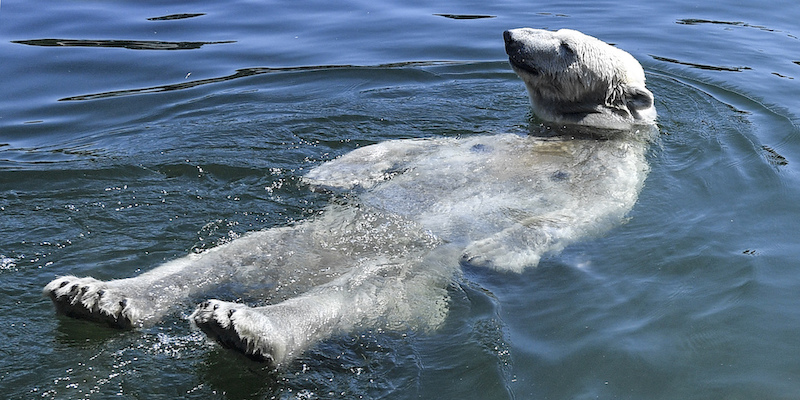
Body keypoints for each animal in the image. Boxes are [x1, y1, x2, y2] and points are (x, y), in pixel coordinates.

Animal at [43, 27, 656, 366]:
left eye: (566, 45)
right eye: (556, 32)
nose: (509, 36)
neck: (576, 136)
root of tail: (292, 277)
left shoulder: (616, 176)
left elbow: (579, 219)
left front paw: (494, 253)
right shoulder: (486, 139)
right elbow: (406, 147)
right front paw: (326, 172)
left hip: (413, 273)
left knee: (363, 289)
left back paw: (244, 327)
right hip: (296, 241)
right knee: (228, 252)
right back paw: (97, 296)